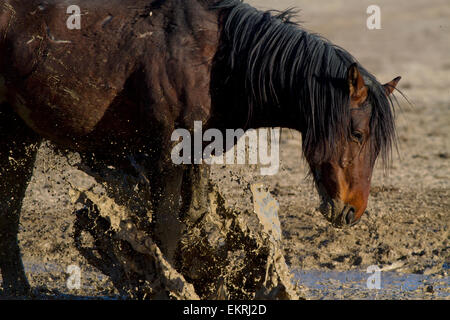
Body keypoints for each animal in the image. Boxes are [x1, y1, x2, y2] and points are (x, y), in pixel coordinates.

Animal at [0, 0, 400, 296]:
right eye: (358, 134)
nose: (352, 211)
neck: (214, 62)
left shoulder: (196, 156)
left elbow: (193, 217)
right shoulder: (167, 156)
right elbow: (165, 227)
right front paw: (169, 287)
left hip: (20, 137)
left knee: (10, 206)